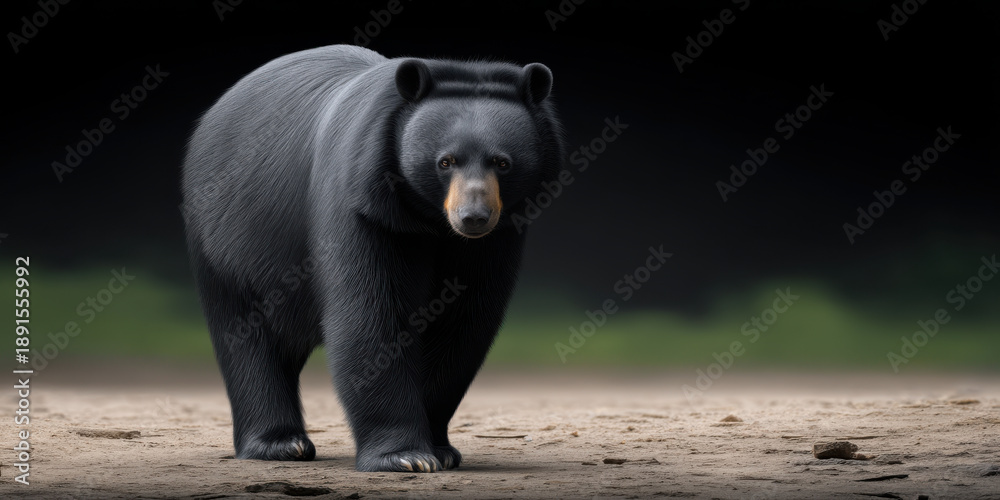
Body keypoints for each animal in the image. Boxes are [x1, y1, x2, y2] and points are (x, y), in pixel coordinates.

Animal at [180, 44, 564, 472]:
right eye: (445, 161)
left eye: (502, 162)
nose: (473, 217)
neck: (428, 219)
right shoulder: (364, 205)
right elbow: (371, 313)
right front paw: (406, 456)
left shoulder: (495, 238)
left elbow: (463, 323)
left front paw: (440, 449)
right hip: (227, 244)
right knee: (245, 334)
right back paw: (281, 444)